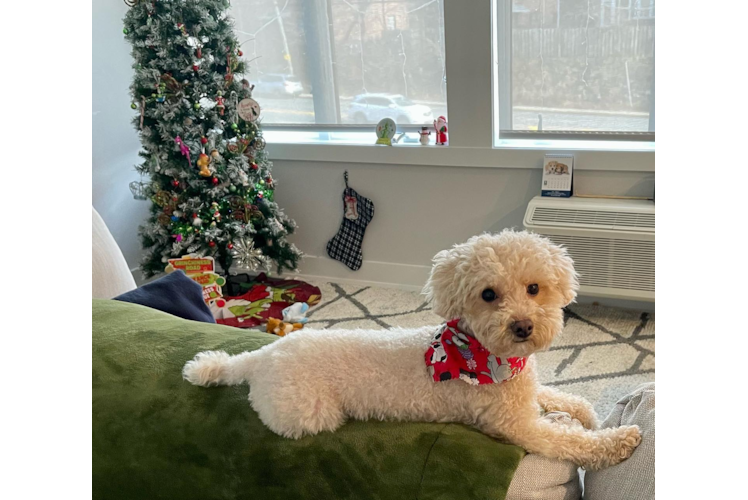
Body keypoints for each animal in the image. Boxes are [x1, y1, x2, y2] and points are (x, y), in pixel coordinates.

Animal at [184, 230, 640, 468]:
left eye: (533, 288)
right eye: (488, 294)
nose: (523, 326)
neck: (484, 355)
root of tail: (264, 357)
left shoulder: (525, 391)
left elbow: (559, 396)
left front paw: (582, 410)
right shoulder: (518, 426)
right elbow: (572, 441)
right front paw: (620, 438)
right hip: (309, 413)